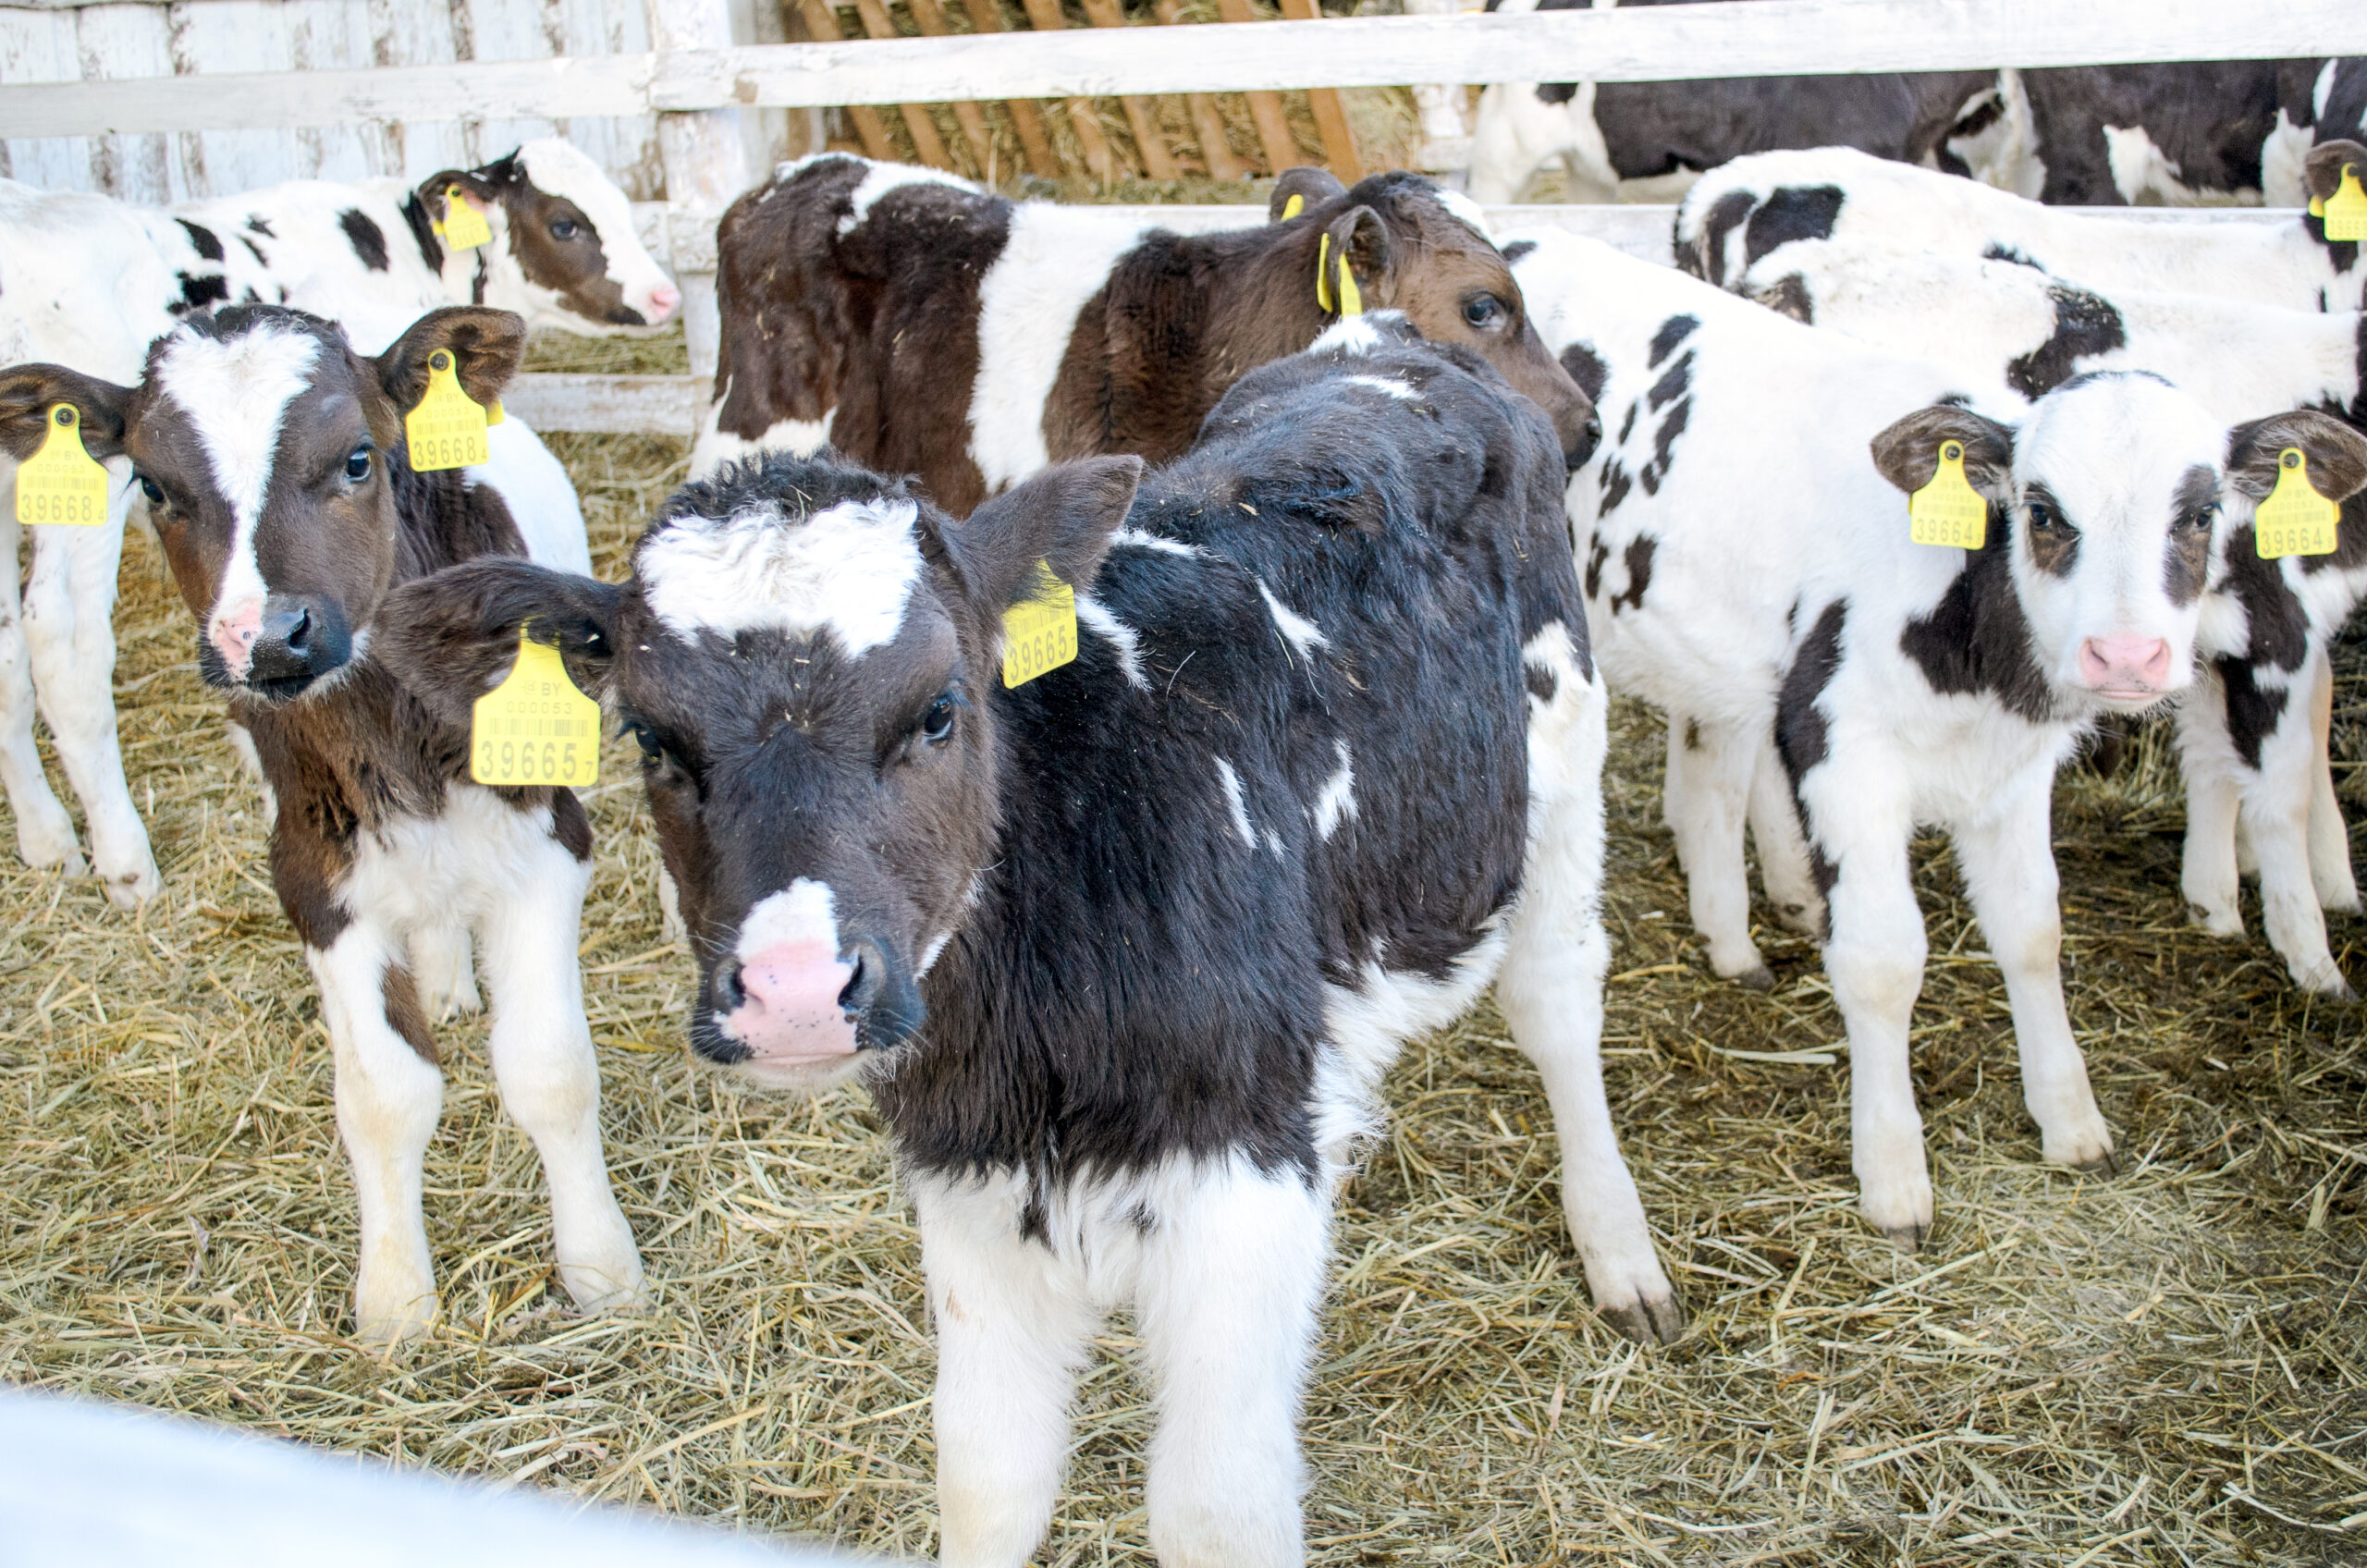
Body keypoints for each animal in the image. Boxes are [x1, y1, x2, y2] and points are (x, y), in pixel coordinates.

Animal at [0, 304, 646, 1343]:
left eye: (356, 459)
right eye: (154, 486)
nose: (267, 639)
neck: (391, 731)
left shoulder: (549, 838)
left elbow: (549, 1069)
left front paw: (601, 1269)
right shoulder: (311, 874)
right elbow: (384, 1095)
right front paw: (395, 1299)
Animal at [378, 325, 1662, 1562]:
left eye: (940, 710)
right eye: (650, 738)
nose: (793, 992)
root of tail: (1396, 343)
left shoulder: (1241, 1170)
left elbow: (1217, 1513)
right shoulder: (970, 1171)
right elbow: (987, 1481)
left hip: (1561, 766)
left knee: (1557, 999)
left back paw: (1620, 1248)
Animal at [1737, 238, 2367, 993]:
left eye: (2202, 513)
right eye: (2038, 511)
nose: (2122, 657)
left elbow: (2221, 753)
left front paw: (2217, 901)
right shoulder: (2277, 628)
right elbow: (2286, 787)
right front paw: (2314, 959)